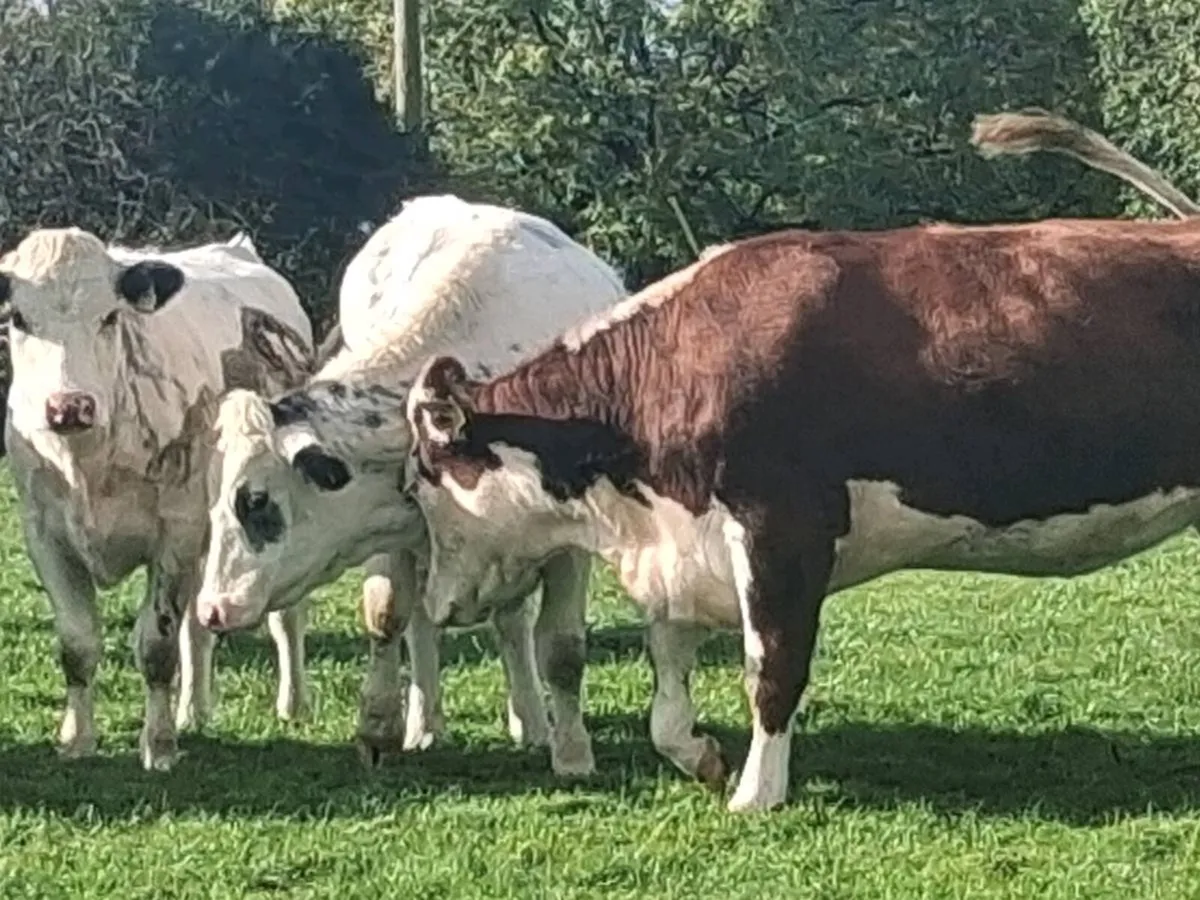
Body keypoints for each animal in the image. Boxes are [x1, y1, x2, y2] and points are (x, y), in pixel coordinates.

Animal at [0, 228, 315, 771]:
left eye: (110, 316)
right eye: (18, 318)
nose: (69, 406)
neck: (87, 460)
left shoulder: (175, 534)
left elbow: (156, 645)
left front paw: (160, 745)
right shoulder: (44, 537)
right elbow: (77, 643)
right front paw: (76, 740)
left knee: (285, 617)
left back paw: (291, 704)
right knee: (199, 626)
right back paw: (194, 711)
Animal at [194, 195, 628, 770]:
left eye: (256, 501)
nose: (211, 609)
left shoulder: (570, 548)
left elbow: (561, 647)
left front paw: (573, 753)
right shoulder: (390, 523)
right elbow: (386, 614)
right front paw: (378, 727)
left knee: (512, 625)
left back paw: (530, 721)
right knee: (428, 622)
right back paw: (426, 724)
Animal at [396, 118, 1200, 811]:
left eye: (422, 481)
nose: (436, 605)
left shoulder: (781, 529)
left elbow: (772, 669)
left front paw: (757, 794)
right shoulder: (685, 548)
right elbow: (666, 686)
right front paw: (702, 757)